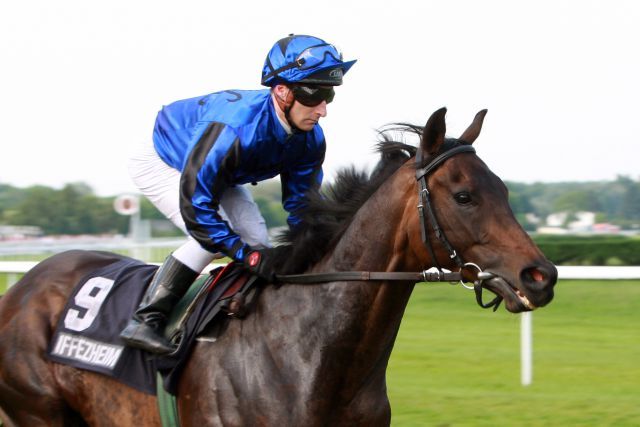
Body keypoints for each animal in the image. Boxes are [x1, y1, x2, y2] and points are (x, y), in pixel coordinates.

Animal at [0, 108, 556, 427]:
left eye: (504, 189)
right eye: (464, 196)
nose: (541, 276)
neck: (312, 358)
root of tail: (22, 288)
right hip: (39, 411)